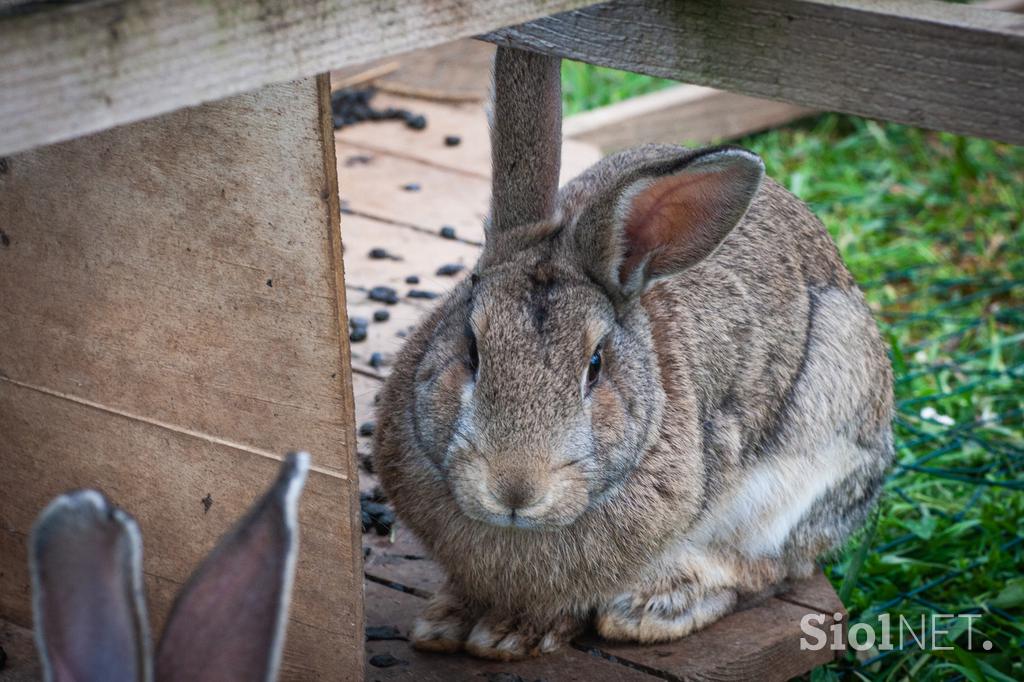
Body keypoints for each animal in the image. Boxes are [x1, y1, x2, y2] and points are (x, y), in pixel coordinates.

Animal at [372, 47, 892, 659]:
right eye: (472, 350)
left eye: (595, 366)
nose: (515, 489)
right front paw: (448, 624)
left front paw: (509, 634)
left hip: (814, 459)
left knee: (770, 567)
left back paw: (654, 607)